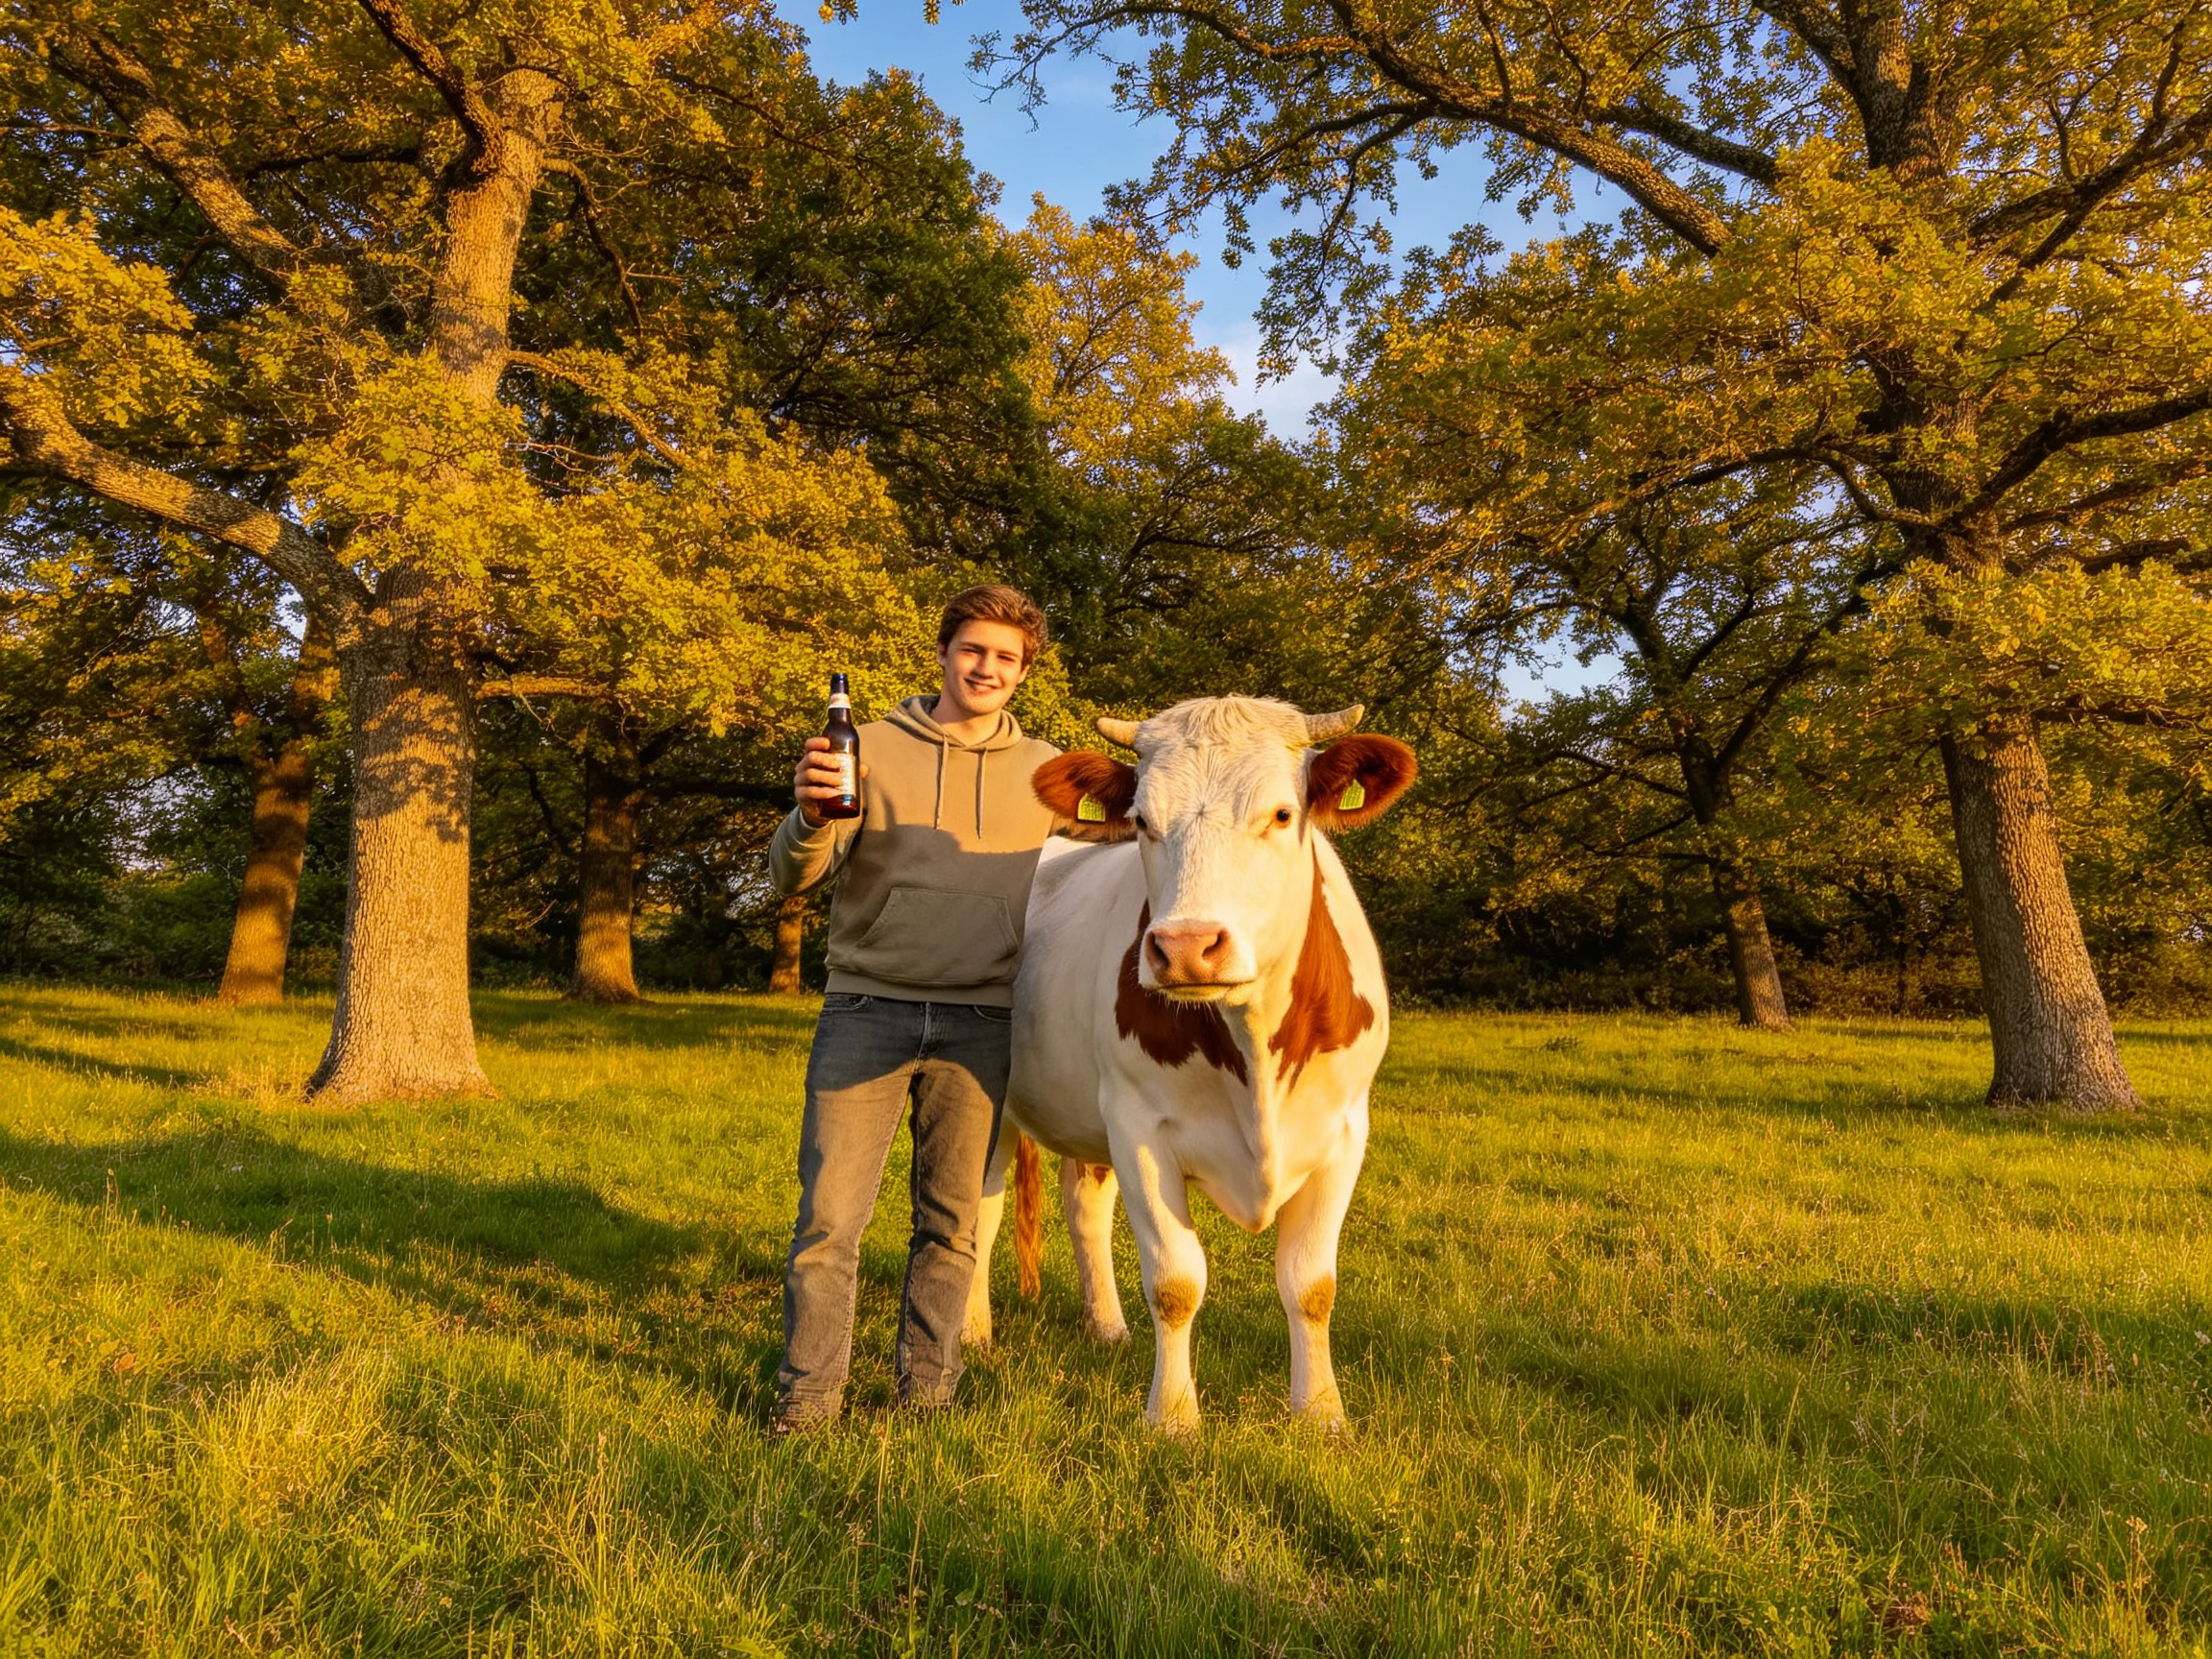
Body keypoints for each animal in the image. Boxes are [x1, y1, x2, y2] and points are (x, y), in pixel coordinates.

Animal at [961, 696, 1417, 1429]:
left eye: (1282, 814)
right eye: (1144, 821)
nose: (1185, 947)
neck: (1254, 1047)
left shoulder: (1345, 1130)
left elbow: (1311, 1284)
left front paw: (1322, 1415)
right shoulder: (1140, 1128)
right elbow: (1176, 1280)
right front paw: (1174, 1420)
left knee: (1084, 1204)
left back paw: (1107, 1327)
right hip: (999, 1098)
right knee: (982, 1206)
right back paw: (973, 1333)